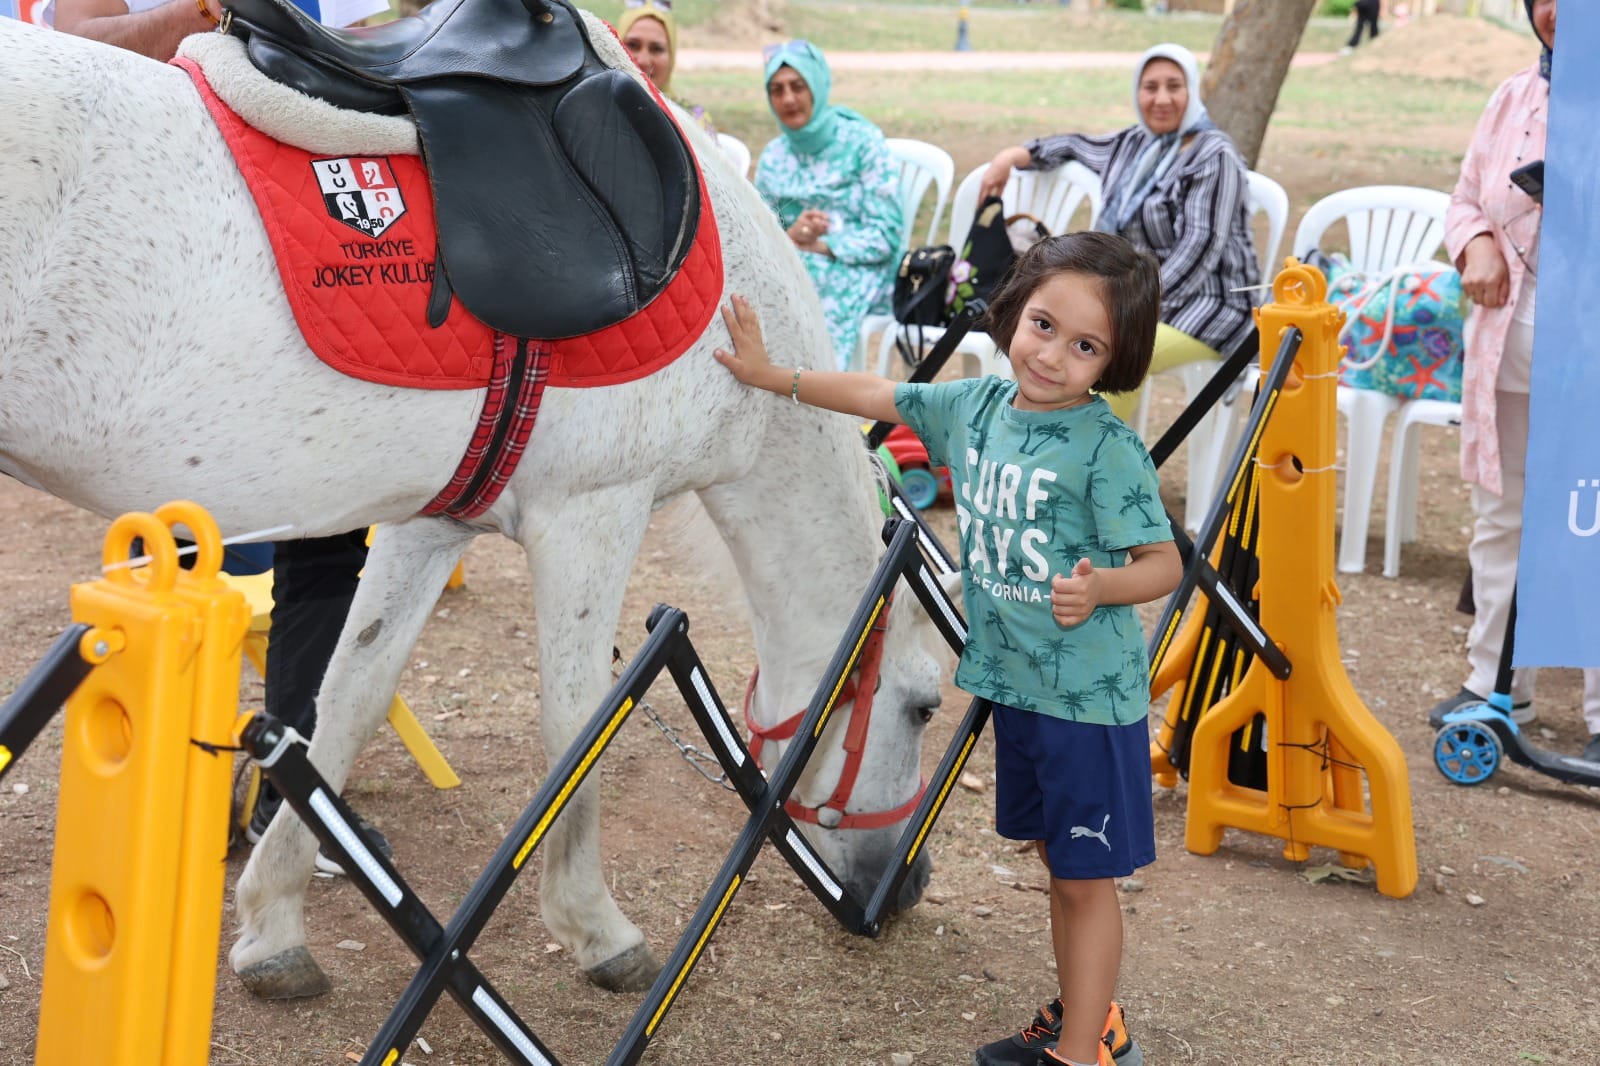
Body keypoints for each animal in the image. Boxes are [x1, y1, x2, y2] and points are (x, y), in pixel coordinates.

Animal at [0, 14, 940, 998]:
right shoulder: (593, 514)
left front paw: (272, 925)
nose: (909, 885)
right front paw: (596, 929)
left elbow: (348, 699)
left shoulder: (427, 526)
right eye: (923, 706)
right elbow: (579, 726)